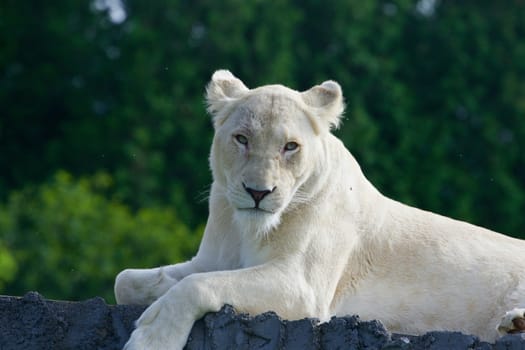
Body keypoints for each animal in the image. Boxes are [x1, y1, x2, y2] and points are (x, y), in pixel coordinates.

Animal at [114, 69, 524, 348]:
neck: (248, 229)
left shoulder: (302, 286)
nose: (258, 192)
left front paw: (151, 338)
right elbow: (126, 280)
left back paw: (513, 321)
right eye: (242, 139)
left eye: (290, 146)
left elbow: (199, 285)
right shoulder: (211, 259)